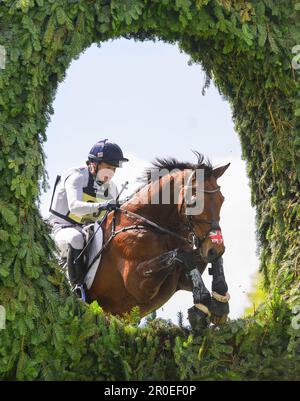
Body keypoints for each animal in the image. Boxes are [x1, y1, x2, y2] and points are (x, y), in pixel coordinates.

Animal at [86, 153, 230, 332]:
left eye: (221, 200)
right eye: (195, 202)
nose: (215, 248)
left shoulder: (183, 276)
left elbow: (211, 260)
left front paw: (219, 302)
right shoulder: (138, 285)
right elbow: (181, 255)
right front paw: (201, 301)